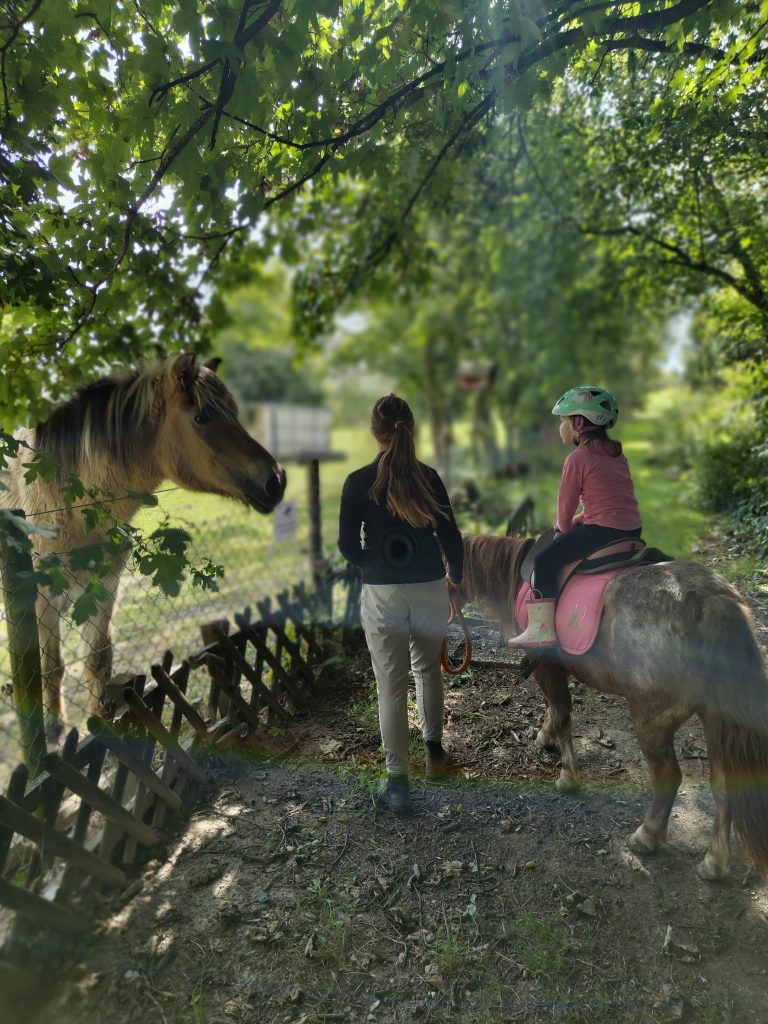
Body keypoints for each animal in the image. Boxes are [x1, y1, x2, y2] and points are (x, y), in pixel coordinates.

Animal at [4, 356, 286, 733]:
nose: (276, 480)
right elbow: (52, 668)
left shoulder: (103, 591)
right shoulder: (42, 602)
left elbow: (98, 664)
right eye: (202, 416)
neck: (68, 506)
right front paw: (53, 730)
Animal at [460, 536, 768, 880]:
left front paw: (567, 776)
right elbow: (554, 710)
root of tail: (713, 601)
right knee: (724, 783)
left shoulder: (546, 666)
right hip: (717, 717)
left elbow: (562, 713)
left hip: (651, 719)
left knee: (668, 775)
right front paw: (544, 736)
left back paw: (646, 836)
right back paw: (713, 863)